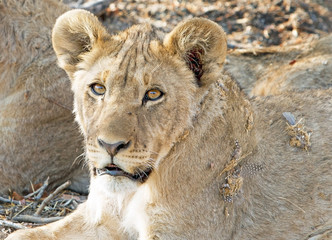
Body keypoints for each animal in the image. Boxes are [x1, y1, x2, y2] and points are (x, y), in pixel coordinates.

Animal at [5, 8, 332, 239]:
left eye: (153, 94)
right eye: (98, 89)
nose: (110, 146)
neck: (135, 191)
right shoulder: (99, 216)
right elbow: (21, 236)